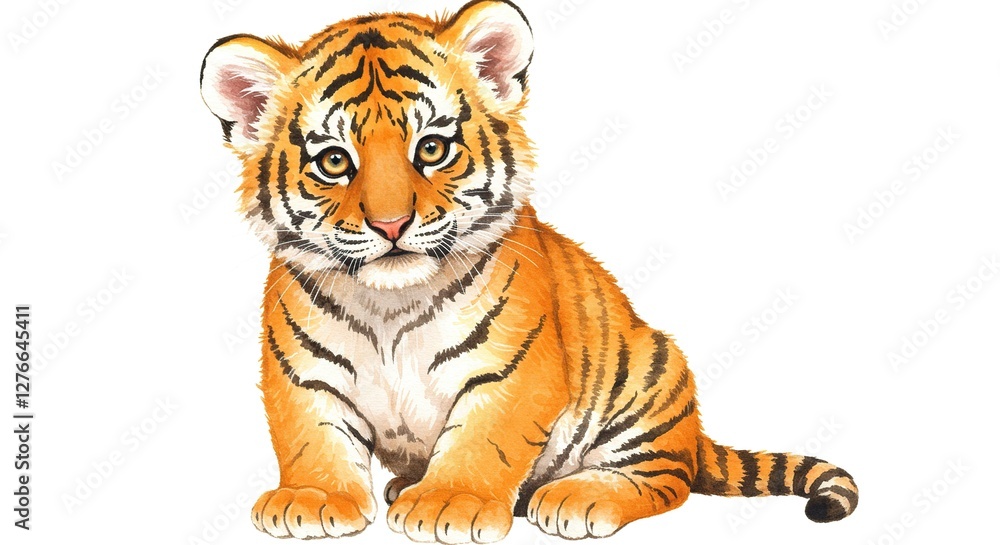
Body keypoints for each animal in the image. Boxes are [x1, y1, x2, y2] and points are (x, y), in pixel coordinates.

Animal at [198, 0, 859, 542]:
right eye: (334, 161)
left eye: (432, 148)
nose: (391, 225)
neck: (391, 304)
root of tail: (695, 434)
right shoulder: (301, 375)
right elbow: (310, 437)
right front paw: (312, 499)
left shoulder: (513, 370)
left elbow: (484, 439)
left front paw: (450, 503)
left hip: (650, 374)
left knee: (665, 479)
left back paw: (576, 496)